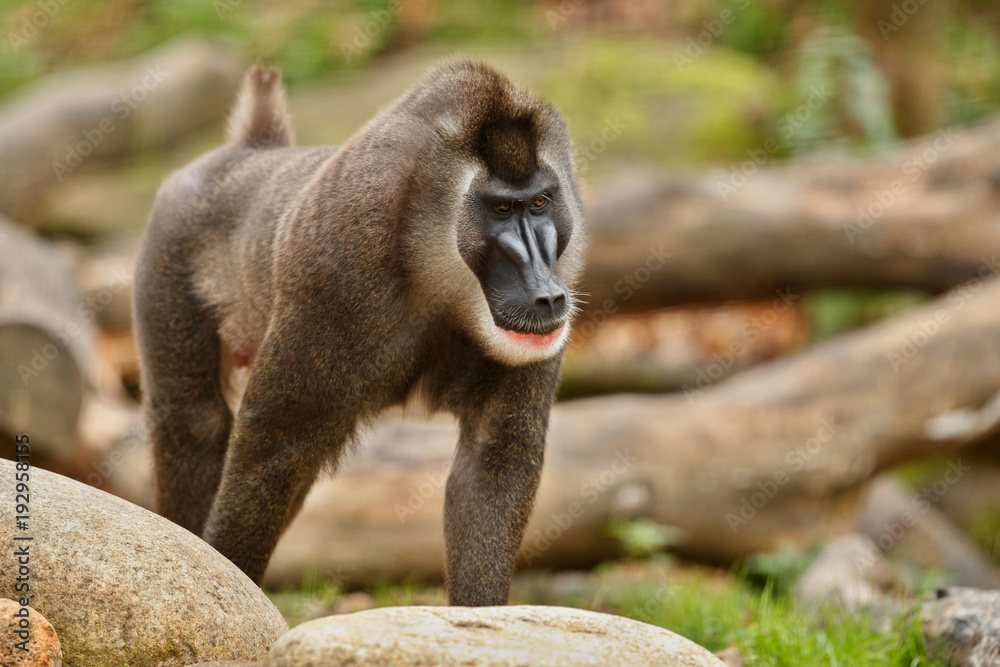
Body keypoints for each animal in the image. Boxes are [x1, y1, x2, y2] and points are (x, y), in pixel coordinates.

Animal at [133, 59, 585, 606]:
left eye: (539, 203)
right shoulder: (332, 268)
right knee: (194, 421)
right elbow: (274, 451)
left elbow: (493, 453)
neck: (431, 266)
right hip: (167, 262)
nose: (548, 294)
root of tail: (248, 150)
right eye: (501, 209)